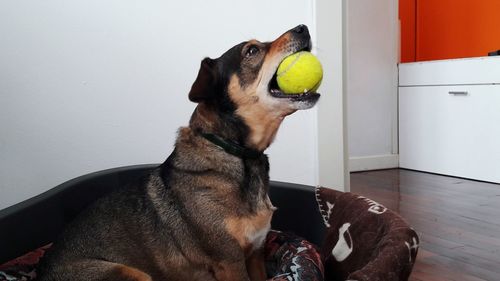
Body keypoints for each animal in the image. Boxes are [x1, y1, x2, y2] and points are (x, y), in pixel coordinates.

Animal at [38, 24, 320, 280]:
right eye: (251, 50)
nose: (303, 28)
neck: (236, 153)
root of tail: (41, 271)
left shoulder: (256, 253)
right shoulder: (229, 261)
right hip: (128, 273)